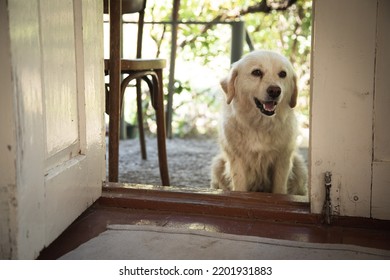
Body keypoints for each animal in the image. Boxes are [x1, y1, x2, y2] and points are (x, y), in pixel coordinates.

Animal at [210, 50, 308, 195]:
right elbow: (239, 185)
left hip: (300, 166)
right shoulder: (237, 158)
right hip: (217, 164)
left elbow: (279, 188)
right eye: (256, 72)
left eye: (282, 74)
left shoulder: (282, 159)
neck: (260, 125)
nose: (275, 91)